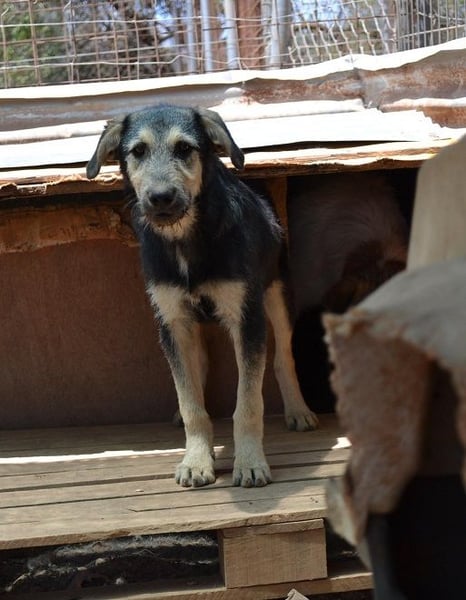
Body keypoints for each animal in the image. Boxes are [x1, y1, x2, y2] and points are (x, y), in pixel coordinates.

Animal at [87, 104, 318, 488]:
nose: (161, 197)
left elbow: (248, 402)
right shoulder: (172, 322)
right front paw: (196, 459)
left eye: (185, 149)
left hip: (278, 295)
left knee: (283, 357)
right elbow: (190, 400)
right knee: (199, 364)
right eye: (138, 151)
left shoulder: (247, 318)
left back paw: (299, 410)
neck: (184, 239)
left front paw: (250, 462)